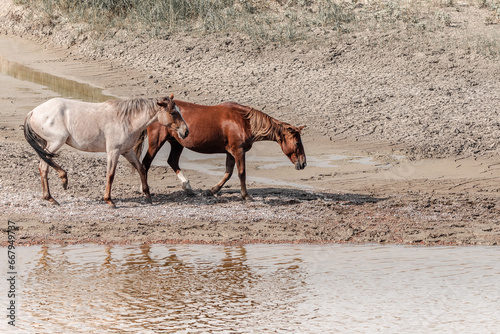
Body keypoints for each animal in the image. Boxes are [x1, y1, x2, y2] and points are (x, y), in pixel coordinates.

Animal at [23, 92, 188, 207]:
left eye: (179, 111)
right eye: (173, 112)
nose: (186, 131)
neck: (126, 120)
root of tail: (33, 112)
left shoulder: (127, 151)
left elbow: (141, 169)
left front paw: (148, 196)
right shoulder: (113, 152)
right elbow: (111, 175)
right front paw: (109, 200)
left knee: (44, 166)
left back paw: (50, 196)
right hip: (55, 142)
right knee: (44, 166)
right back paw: (58, 187)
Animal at [137, 100, 306, 200]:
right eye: (297, 142)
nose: (303, 163)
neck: (244, 121)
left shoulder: (230, 152)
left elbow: (228, 173)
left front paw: (211, 190)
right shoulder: (238, 151)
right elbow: (241, 173)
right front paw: (246, 196)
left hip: (177, 143)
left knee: (172, 161)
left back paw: (187, 187)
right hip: (156, 141)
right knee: (146, 163)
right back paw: (144, 190)